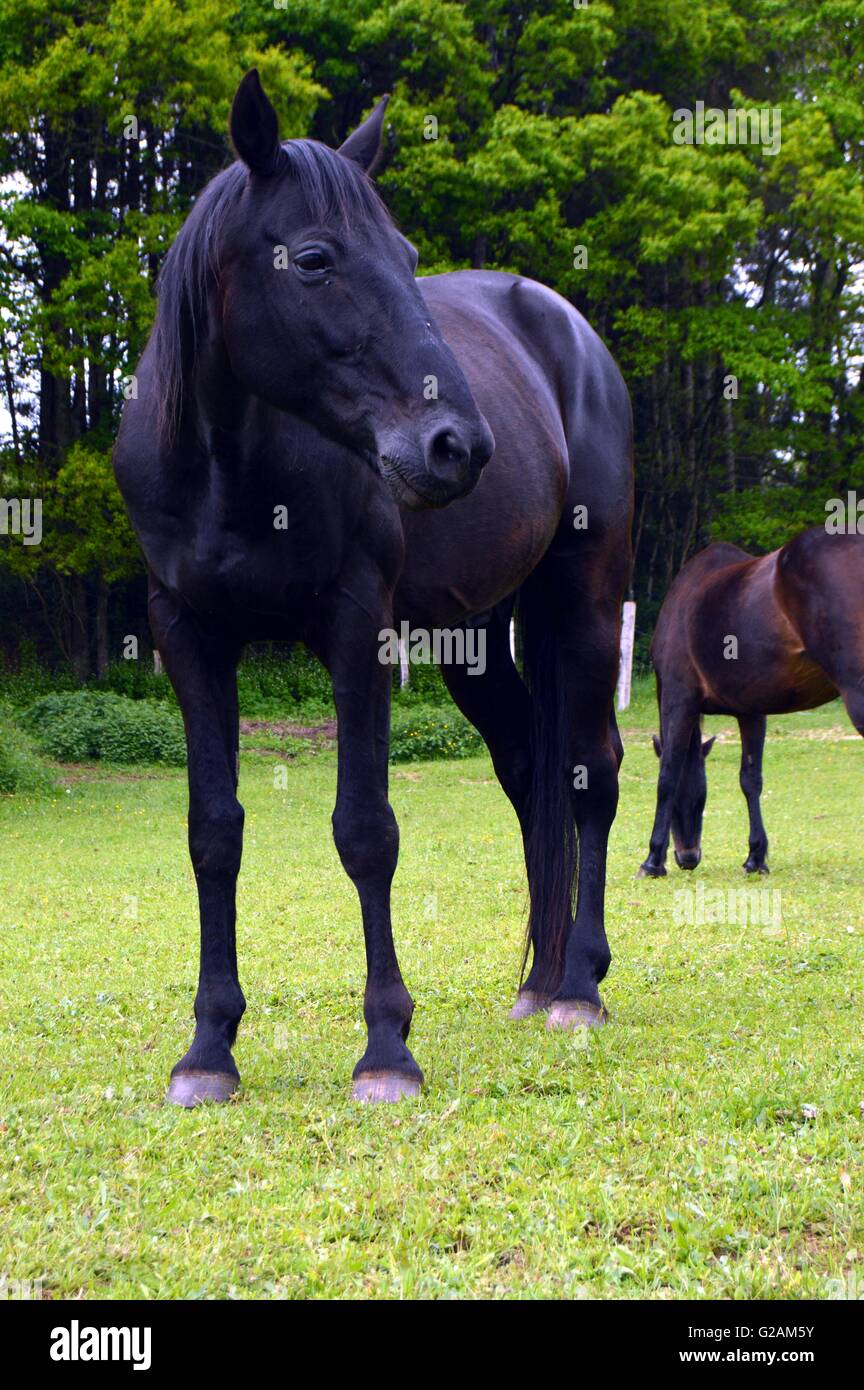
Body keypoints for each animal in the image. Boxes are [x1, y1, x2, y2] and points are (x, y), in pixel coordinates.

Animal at [113, 70, 633, 1106]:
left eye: (406, 256)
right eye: (314, 259)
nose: (458, 445)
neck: (232, 471)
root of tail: (570, 331)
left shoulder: (357, 630)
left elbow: (365, 831)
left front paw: (388, 1046)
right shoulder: (188, 636)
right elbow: (213, 833)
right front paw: (208, 1048)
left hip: (590, 601)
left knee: (590, 772)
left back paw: (580, 988)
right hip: (474, 641)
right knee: (530, 771)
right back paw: (540, 979)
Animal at [638, 526, 864, 878]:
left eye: (697, 800)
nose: (688, 857)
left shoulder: (679, 699)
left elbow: (668, 776)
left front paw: (652, 860)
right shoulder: (752, 712)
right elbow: (750, 780)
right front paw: (756, 857)